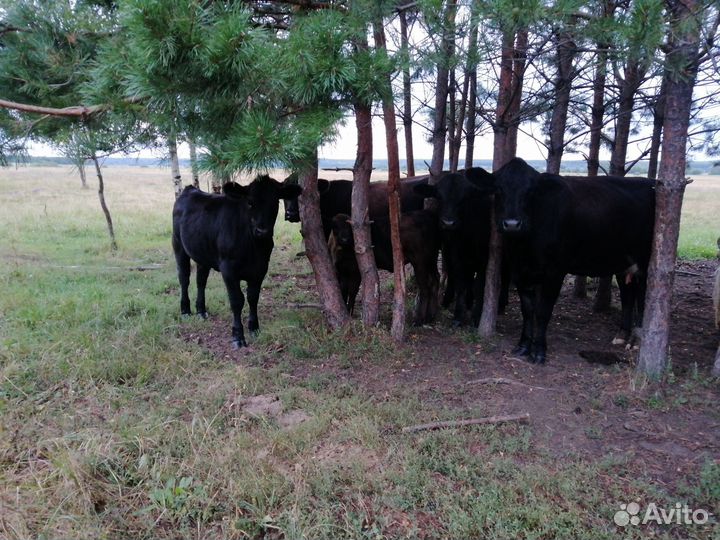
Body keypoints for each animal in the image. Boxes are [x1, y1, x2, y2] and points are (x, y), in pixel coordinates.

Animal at [172, 176, 302, 348]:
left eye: (275, 202)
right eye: (250, 202)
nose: (262, 231)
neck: (254, 247)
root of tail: (190, 189)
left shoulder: (261, 268)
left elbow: (253, 297)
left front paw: (254, 328)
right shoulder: (228, 269)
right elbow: (236, 300)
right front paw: (238, 336)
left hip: (203, 254)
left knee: (201, 281)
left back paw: (201, 311)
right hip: (178, 245)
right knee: (184, 278)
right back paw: (186, 311)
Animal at [467, 158, 655, 364]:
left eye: (530, 192)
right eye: (499, 189)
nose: (512, 224)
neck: (524, 248)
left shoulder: (555, 272)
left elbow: (542, 311)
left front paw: (539, 352)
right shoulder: (519, 270)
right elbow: (527, 311)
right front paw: (523, 347)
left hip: (646, 259)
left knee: (644, 296)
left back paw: (637, 340)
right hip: (623, 260)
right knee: (628, 294)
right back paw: (622, 335)